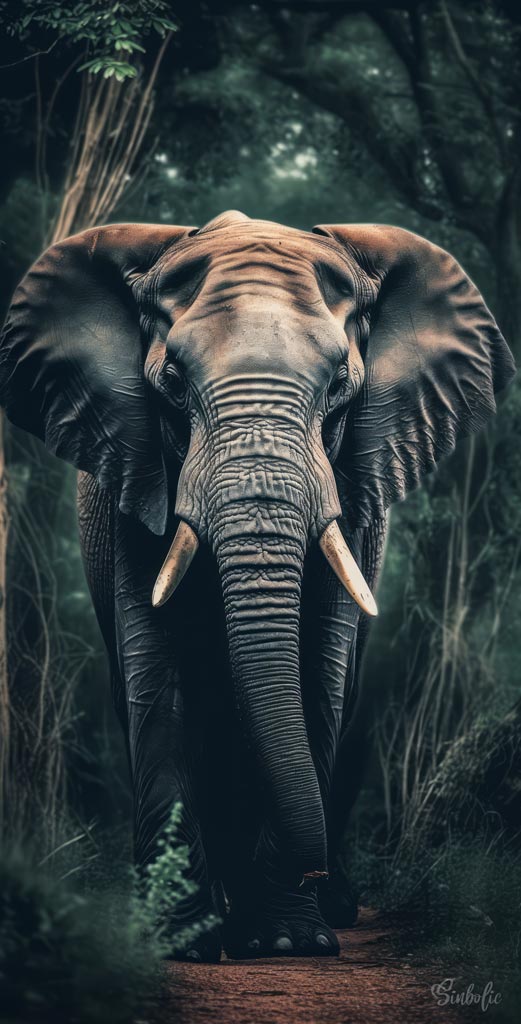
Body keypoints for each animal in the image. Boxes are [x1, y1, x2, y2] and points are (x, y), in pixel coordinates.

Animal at [0, 210, 514, 962]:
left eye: (339, 387)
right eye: (172, 382)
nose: (314, 875)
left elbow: (318, 674)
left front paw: (289, 942)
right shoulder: (135, 474)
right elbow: (158, 673)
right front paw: (181, 942)